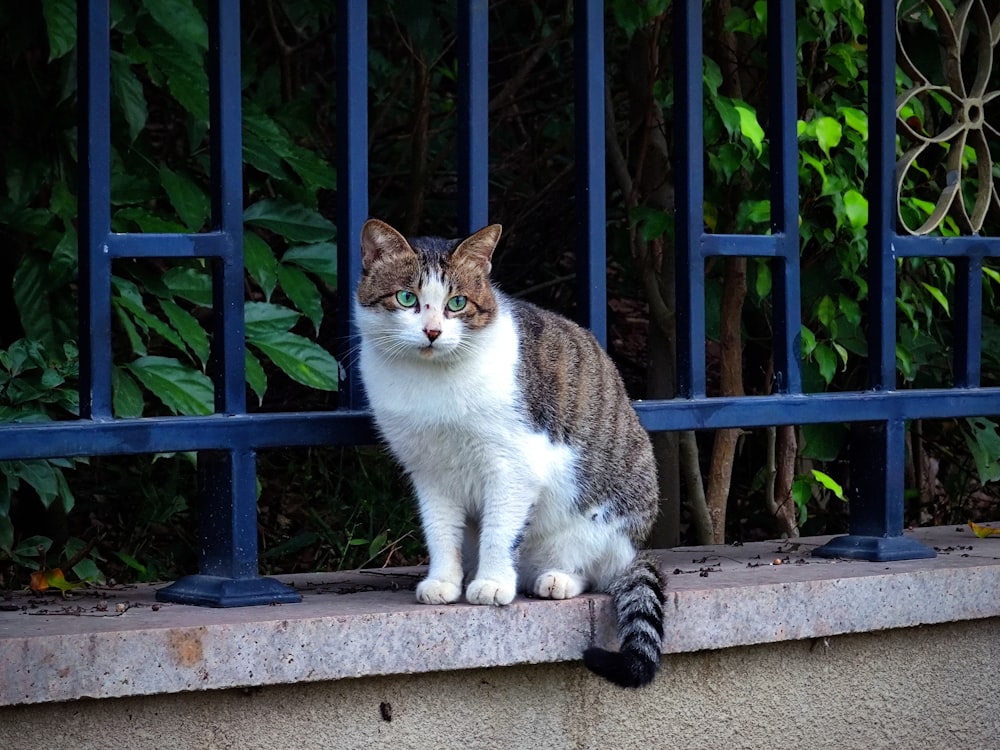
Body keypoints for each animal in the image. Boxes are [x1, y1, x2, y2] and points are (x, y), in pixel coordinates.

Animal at [356, 217, 668, 688]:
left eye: (457, 303)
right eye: (406, 298)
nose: (432, 332)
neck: (431, 382)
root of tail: (634, 553)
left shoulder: (513, 466)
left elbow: (501, 531)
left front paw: (491, 584)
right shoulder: (429, 472)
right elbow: (440, 532)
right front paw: (444, 581)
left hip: (604, 517)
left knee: (592, 570)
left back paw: (556, 579)